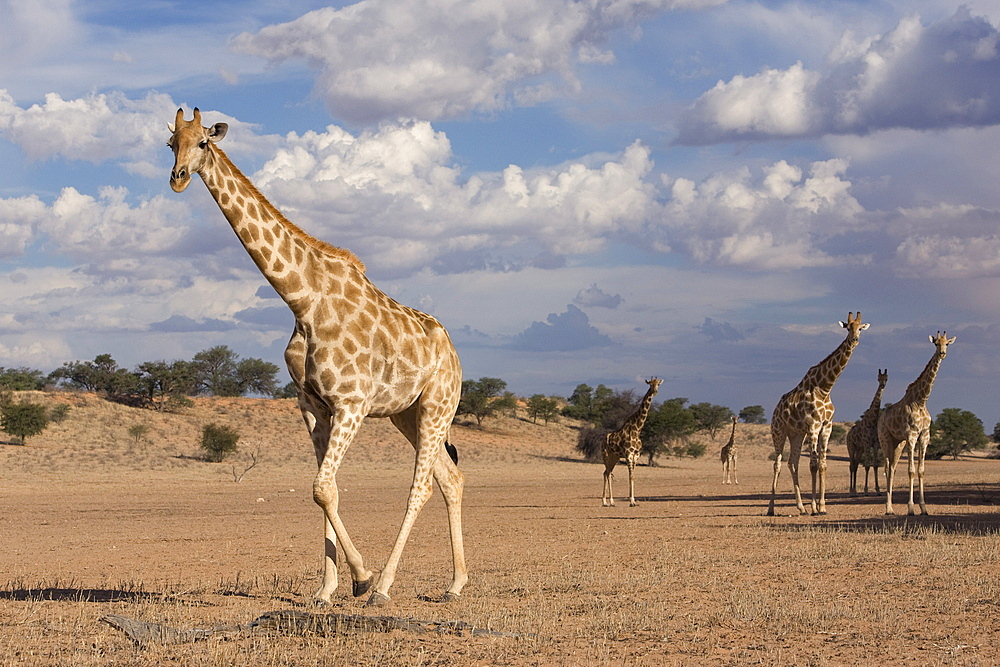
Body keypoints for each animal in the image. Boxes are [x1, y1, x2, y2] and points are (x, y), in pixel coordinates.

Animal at [169, 107, 468, 608]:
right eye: (171, 143)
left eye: (203, 143)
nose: (177, 178)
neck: (302, 301)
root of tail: (455, 354)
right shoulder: (312, 404)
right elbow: (326, 492)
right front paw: (327, 589)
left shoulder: (351, 403)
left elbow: (322, 486)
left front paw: (363, 578)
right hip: (406, 413)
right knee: (450, 478)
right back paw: (456, 583)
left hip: (437, 406)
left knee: (422, 484)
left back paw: (385, 587)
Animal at [600, 376, 664, 506]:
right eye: (650, 384)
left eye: (658, 384)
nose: (655, 391)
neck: (637, 429)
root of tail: (603, 440)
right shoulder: (629, 454)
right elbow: (630, 476)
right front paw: (631, 501)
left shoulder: (636, 455)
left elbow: (633, 476)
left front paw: (634, 501)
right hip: (606, 456)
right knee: (606, 473)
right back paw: (604, 501)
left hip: (614, 457)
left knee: (607, 473)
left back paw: (611, 502)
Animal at [764, 314, 868, 516]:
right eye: (848, 328)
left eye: (860, 328)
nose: (854, 340)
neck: (825, 388)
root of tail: (775, 410)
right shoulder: (813, 426)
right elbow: (812, 465)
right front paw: (814, 508)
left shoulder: (827, 427)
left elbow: (822, 464)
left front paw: (822, 506)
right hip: (779, 431)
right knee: (777, 464)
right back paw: (771, 508)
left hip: (796, 434)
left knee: (793, 463)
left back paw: (801, 507)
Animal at [848, 368, 888, 498]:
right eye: (878, 378)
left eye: (886, 378)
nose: (882, 385)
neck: (872, 420)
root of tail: (848, 434)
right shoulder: (866, 443)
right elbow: (866, 466)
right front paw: (865, 490)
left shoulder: (874, 444)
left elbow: (874, 465)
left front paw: (878, 490)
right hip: (851, 447)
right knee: (851, 465)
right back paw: (851, 491)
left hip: (859, 449)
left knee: (855, 465)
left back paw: (855, 491)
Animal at [884, 332, 952, 516]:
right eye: (936, 343)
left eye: (947, 343)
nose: (942, 353)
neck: (921, 401)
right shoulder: (911, 435)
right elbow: (911, 471)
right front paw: (910, 508)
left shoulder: (925, 436)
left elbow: (921, 471)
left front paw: (924, 507)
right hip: (885, 439)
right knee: (888, 468)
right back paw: (888, 508)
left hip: (898, 443)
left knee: (892, 468)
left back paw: (891, 508)